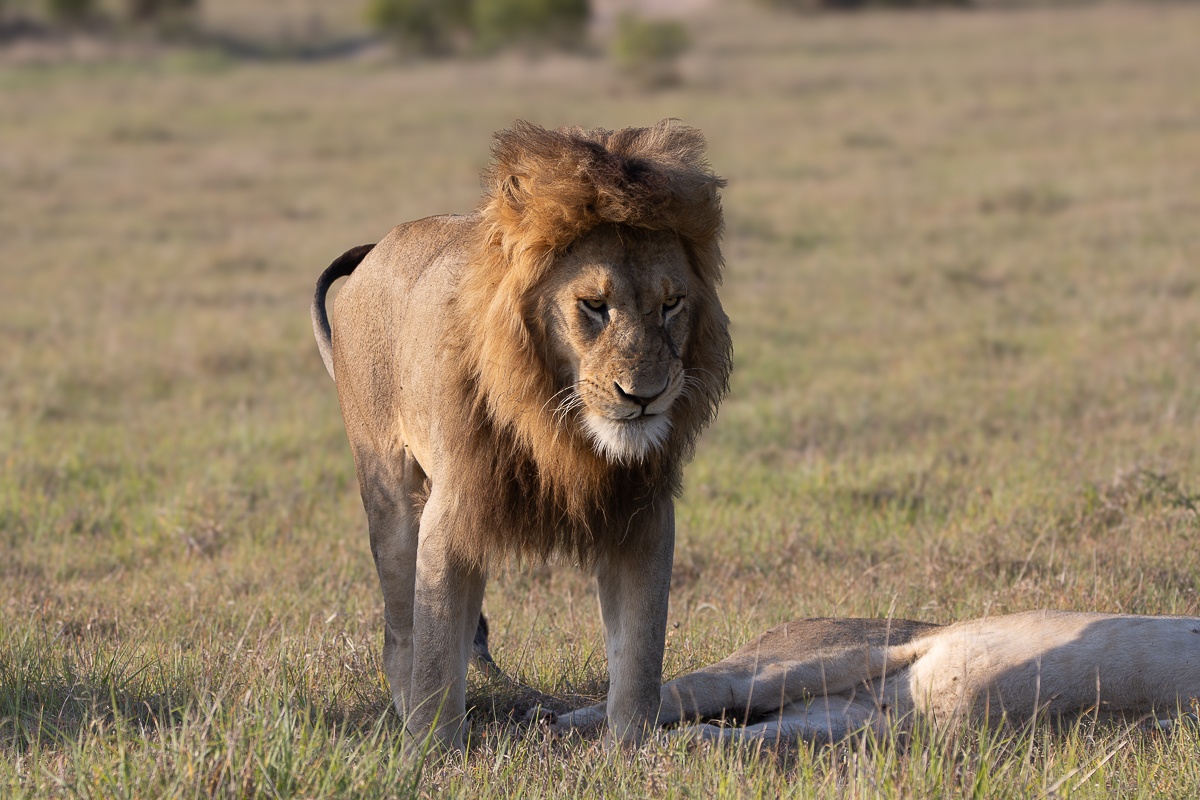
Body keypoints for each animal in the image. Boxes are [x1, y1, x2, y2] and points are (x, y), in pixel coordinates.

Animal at [310, 120, 731, 750]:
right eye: (594, 305)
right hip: (390, 491)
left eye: (672, 303)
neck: (560, 425)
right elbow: (435, 649)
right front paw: (430, 754)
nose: (645, 395)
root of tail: (376, 251)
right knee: (402, 631)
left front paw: (631, 750)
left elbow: (639, 651)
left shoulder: (643, 513)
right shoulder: (452, 507)